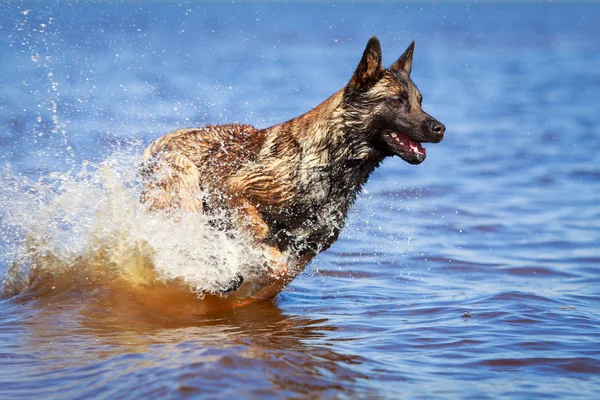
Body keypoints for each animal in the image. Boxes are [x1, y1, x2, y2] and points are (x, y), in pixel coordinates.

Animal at [138, 37, 442, 304]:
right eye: (397, 100)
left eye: (420, 101)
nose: (440, 129)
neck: (331, 163)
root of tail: (159, 143)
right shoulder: (235, 189)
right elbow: (266, 247)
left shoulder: (308, 249)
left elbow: (275, 280)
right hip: (185, 190)